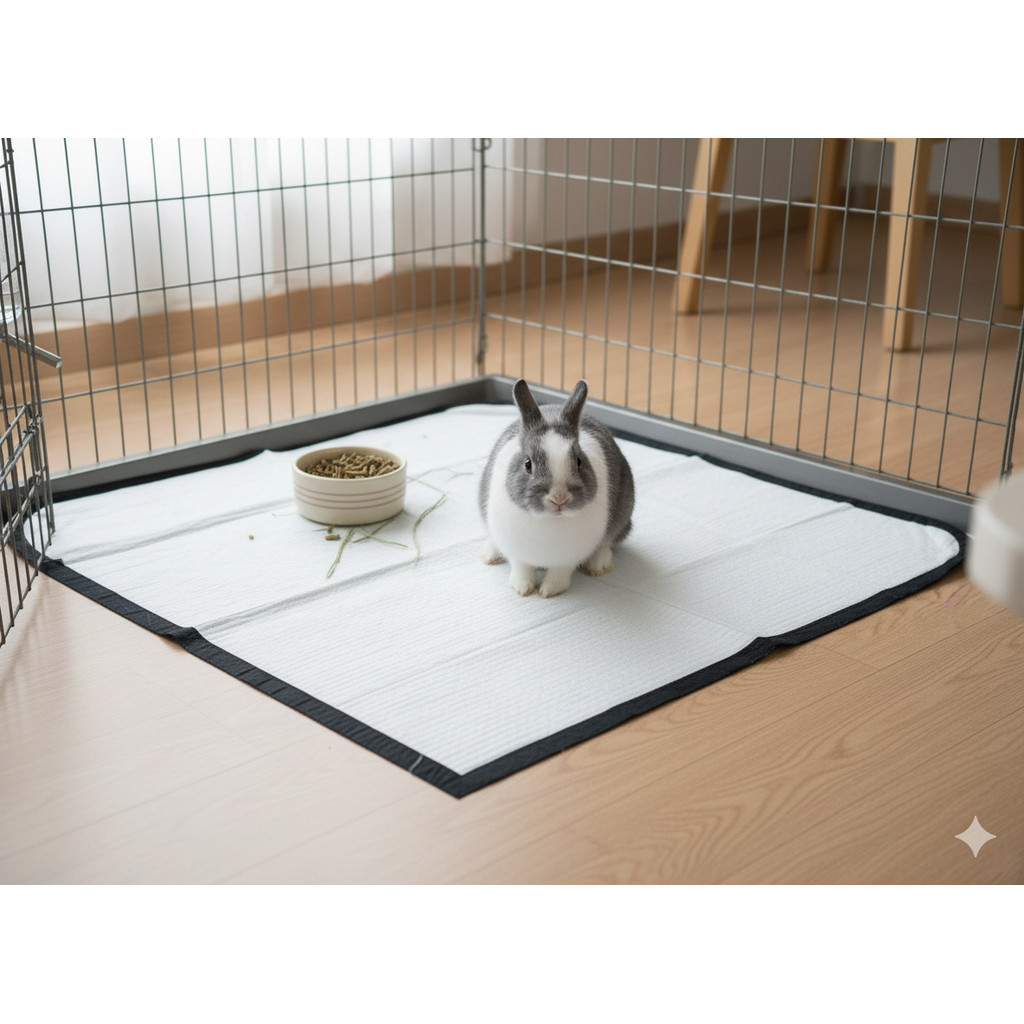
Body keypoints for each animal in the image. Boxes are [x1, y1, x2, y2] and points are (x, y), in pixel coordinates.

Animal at [479, 378, 635, 597]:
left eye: (579, 461)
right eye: (528, 464)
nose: (559, 498)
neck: (549, 521)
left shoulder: (568, 559)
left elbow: (559, 573)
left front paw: (549, 591)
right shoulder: (517, 553)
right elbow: (522, 569)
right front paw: (522, 588)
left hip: (623, 513)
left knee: (609, 541)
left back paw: (597, 565)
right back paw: (490, 554)